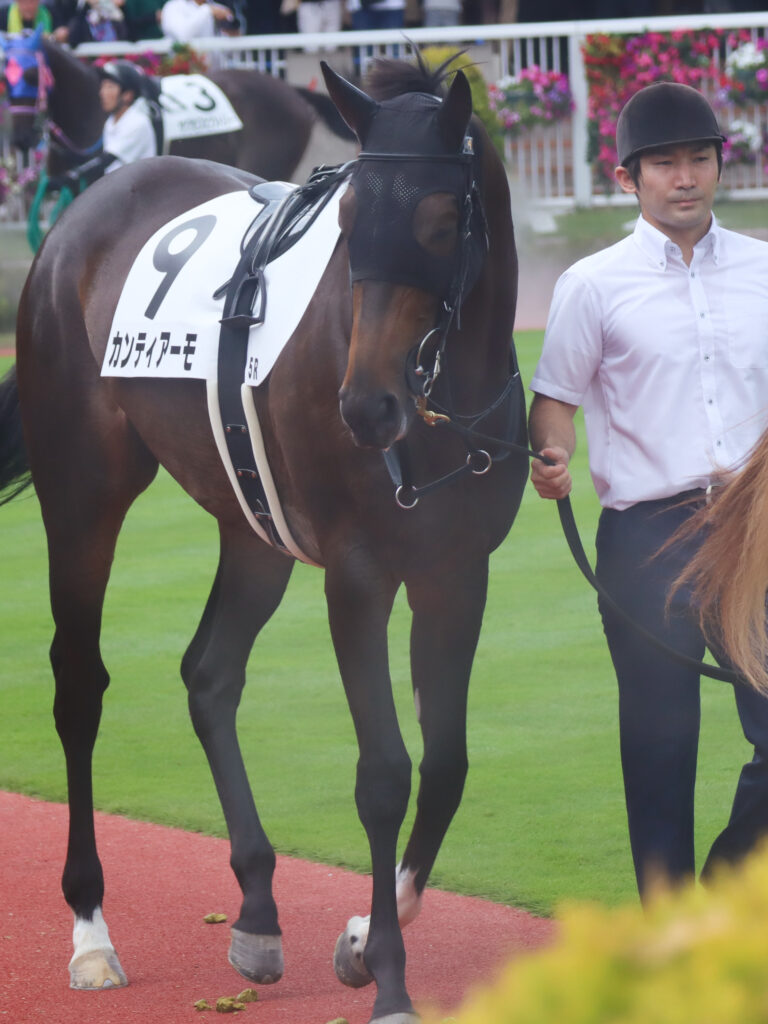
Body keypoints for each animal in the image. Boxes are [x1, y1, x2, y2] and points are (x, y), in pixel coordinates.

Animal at [0, 54, 528, 1024]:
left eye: (440, 220)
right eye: (350, 221)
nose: (367, 406)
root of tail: (87, 211)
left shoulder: (455, 570)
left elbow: (446, 764)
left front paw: (360, 937)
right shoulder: (357, 574)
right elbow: (385, 772)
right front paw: (388, 975)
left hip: (254, 519)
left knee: (209, 672)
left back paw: (254, 908)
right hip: (85, 491)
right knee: (79, 685)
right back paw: (91, 928)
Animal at [1, 34, 353, 182]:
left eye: (30, 75)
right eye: (5, 77)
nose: (20, 140)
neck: (91, 107)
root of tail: (291, 91)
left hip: (267, 163)